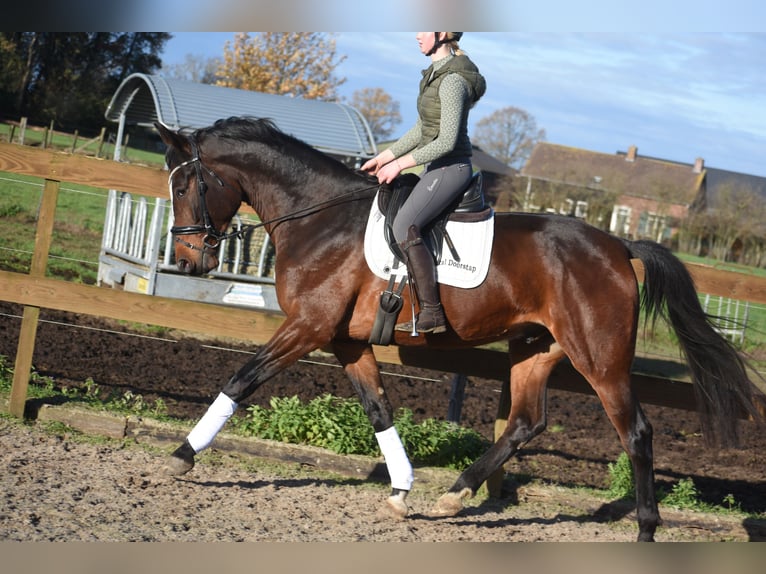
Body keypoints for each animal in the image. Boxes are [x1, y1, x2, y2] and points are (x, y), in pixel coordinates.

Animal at [155, 116, 763, 542]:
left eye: (185, 186)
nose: (187, 261)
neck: (319, 219)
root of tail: (618, 245)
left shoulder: (307, 327)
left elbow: (242, 379)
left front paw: (182, 455)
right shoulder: (345, 340)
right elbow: (378, 409)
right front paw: (402, 490)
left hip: (600, 358)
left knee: (635, 432)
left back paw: (645, 529)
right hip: (536, 348)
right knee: (525, 422)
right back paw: (455, 494)